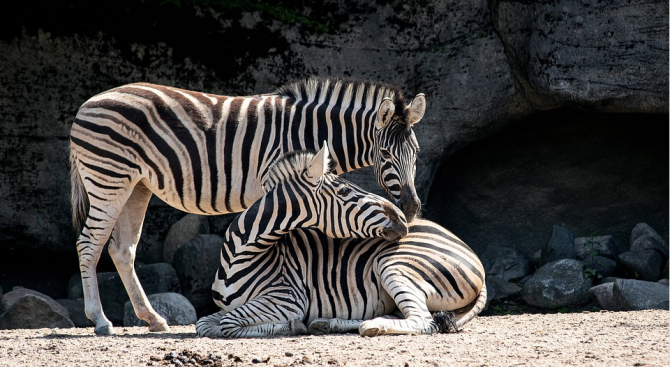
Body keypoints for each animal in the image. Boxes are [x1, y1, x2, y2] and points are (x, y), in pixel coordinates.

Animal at [68, 76, 426, 334]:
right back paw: (101, 320)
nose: (410, 209)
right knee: (89, 244)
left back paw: (153, 319)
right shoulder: (276, 182)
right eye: (385, 154)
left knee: (122, 249)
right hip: (108, 177)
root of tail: (88, 104)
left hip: (136, 184)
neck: (311, 131)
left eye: (417, 152)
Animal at [197, 147, 486, 340]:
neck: (241, 254)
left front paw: (292, 326)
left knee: (424, 321)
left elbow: (227, 324)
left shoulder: (288, 299)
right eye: (346, 191)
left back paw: (370, 326)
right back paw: (328, 323)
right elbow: (205, 324)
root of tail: (473, 255)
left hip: (395, 265)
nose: (404, 218)